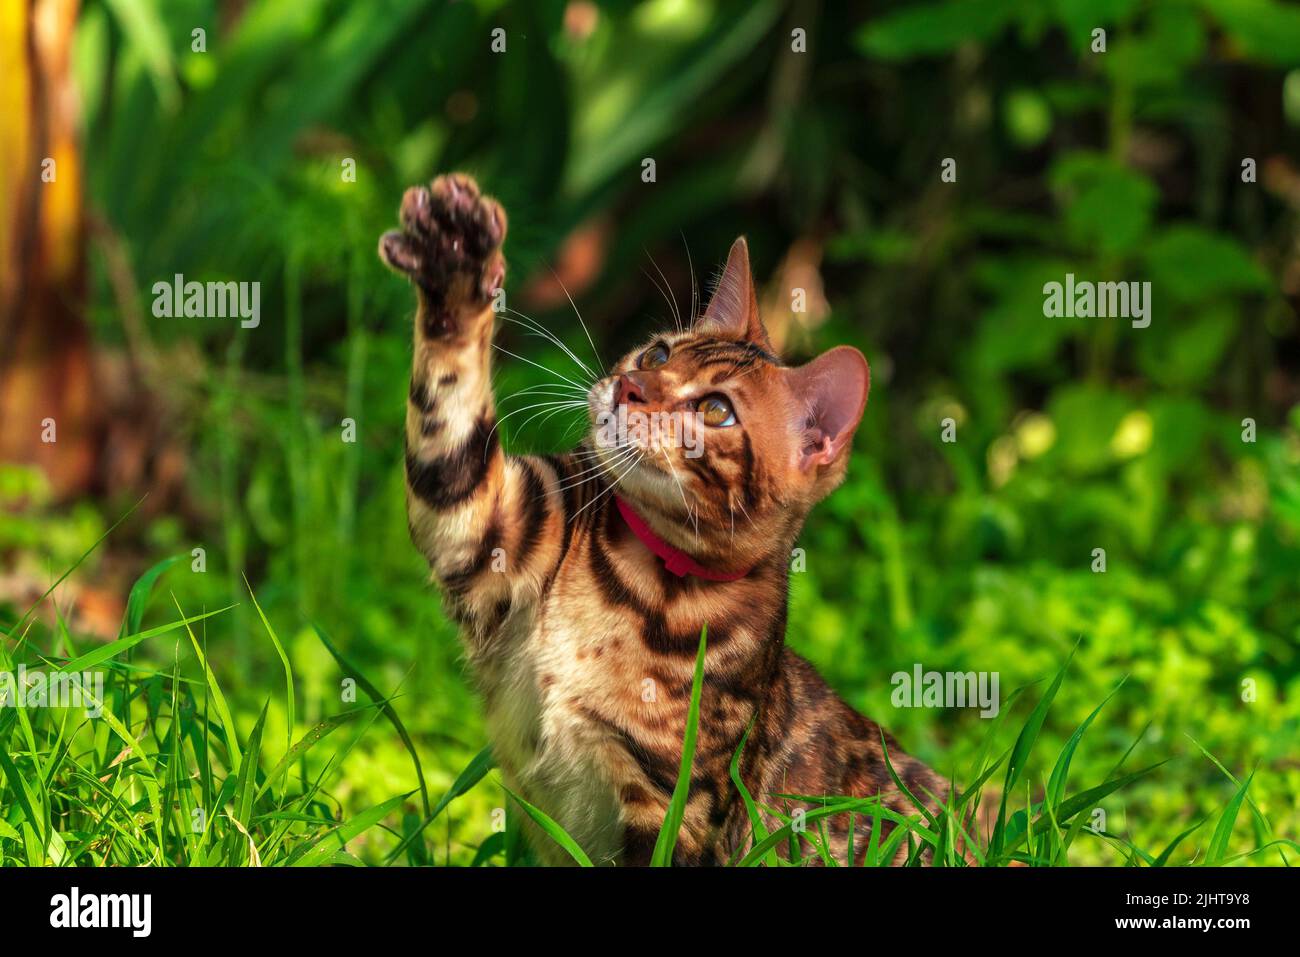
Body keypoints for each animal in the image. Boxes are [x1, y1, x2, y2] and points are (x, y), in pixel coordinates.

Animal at [377, 171, 946, 868]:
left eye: (716, 410)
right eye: (655, 355)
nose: (630, 389)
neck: (640, 576)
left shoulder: (678, 805)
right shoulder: (487, 527)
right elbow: (450, 413)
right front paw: (455, 257)